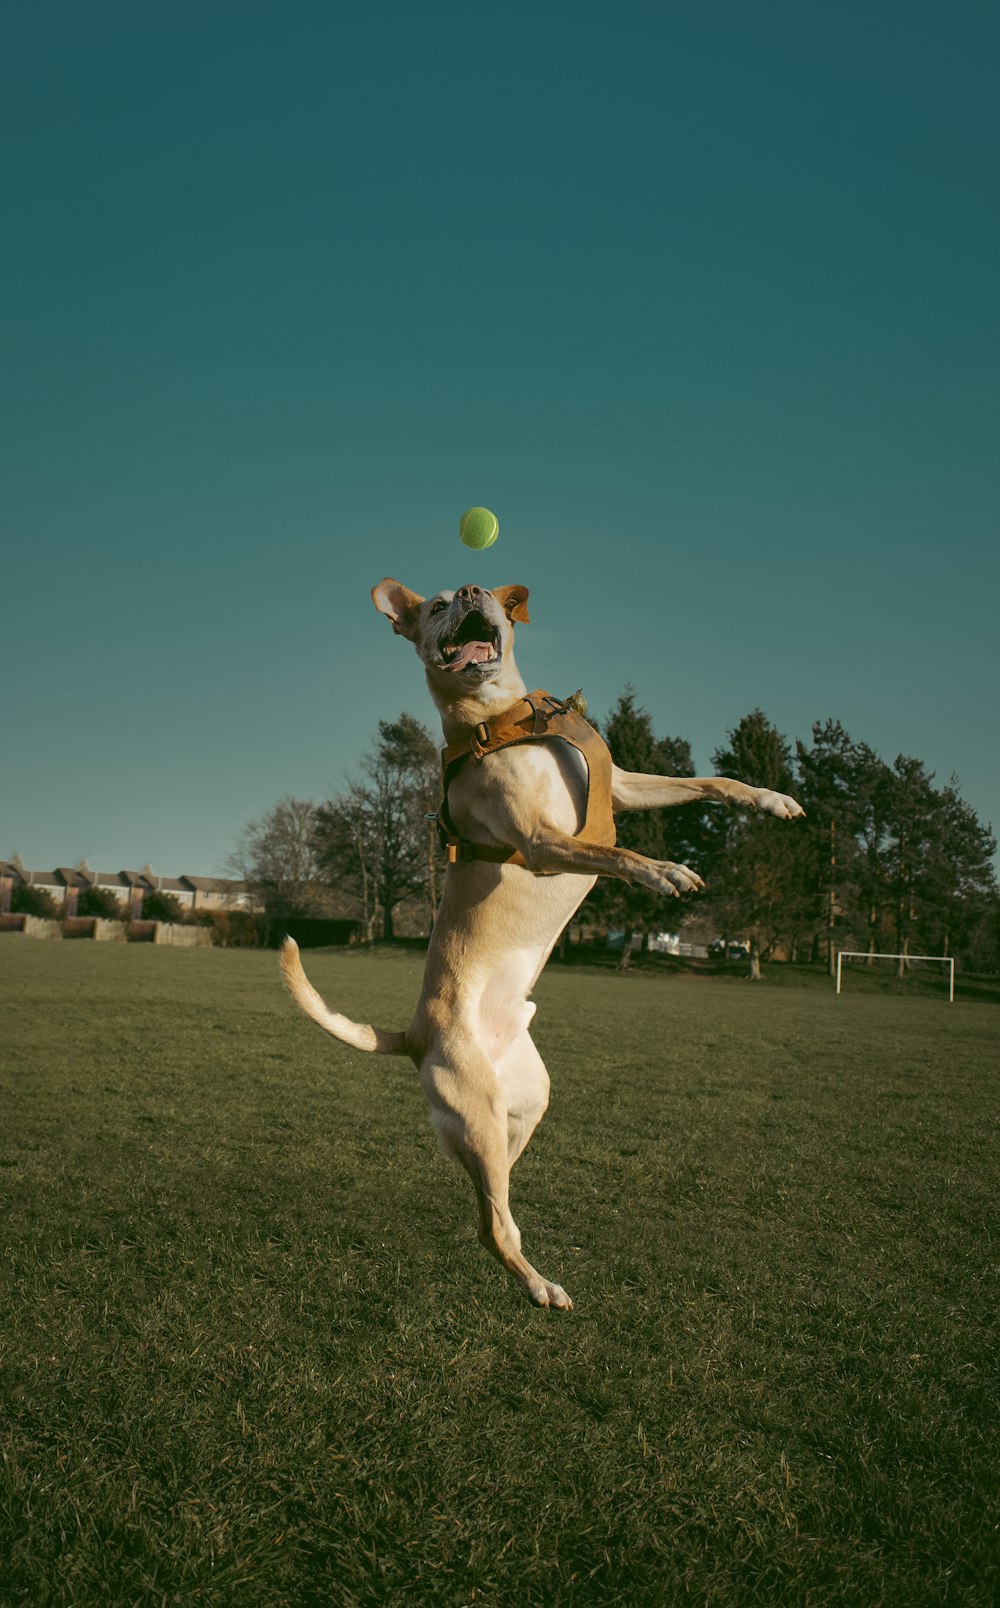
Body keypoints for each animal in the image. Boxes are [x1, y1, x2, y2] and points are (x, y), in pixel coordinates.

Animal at [284, 578, 807, 1305]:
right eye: (438, 605)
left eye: (471, 592)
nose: (471, 589)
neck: (501, 719)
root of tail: (414, 1034)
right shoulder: (539, 843)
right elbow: (615, 854)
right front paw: (664, 871)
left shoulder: (625, 788)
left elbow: (709, 782)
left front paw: (771, 800)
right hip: (478, 1113)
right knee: (495, 1227)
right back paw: (538, 1285)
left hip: (523, 1106)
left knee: (492, 1196)